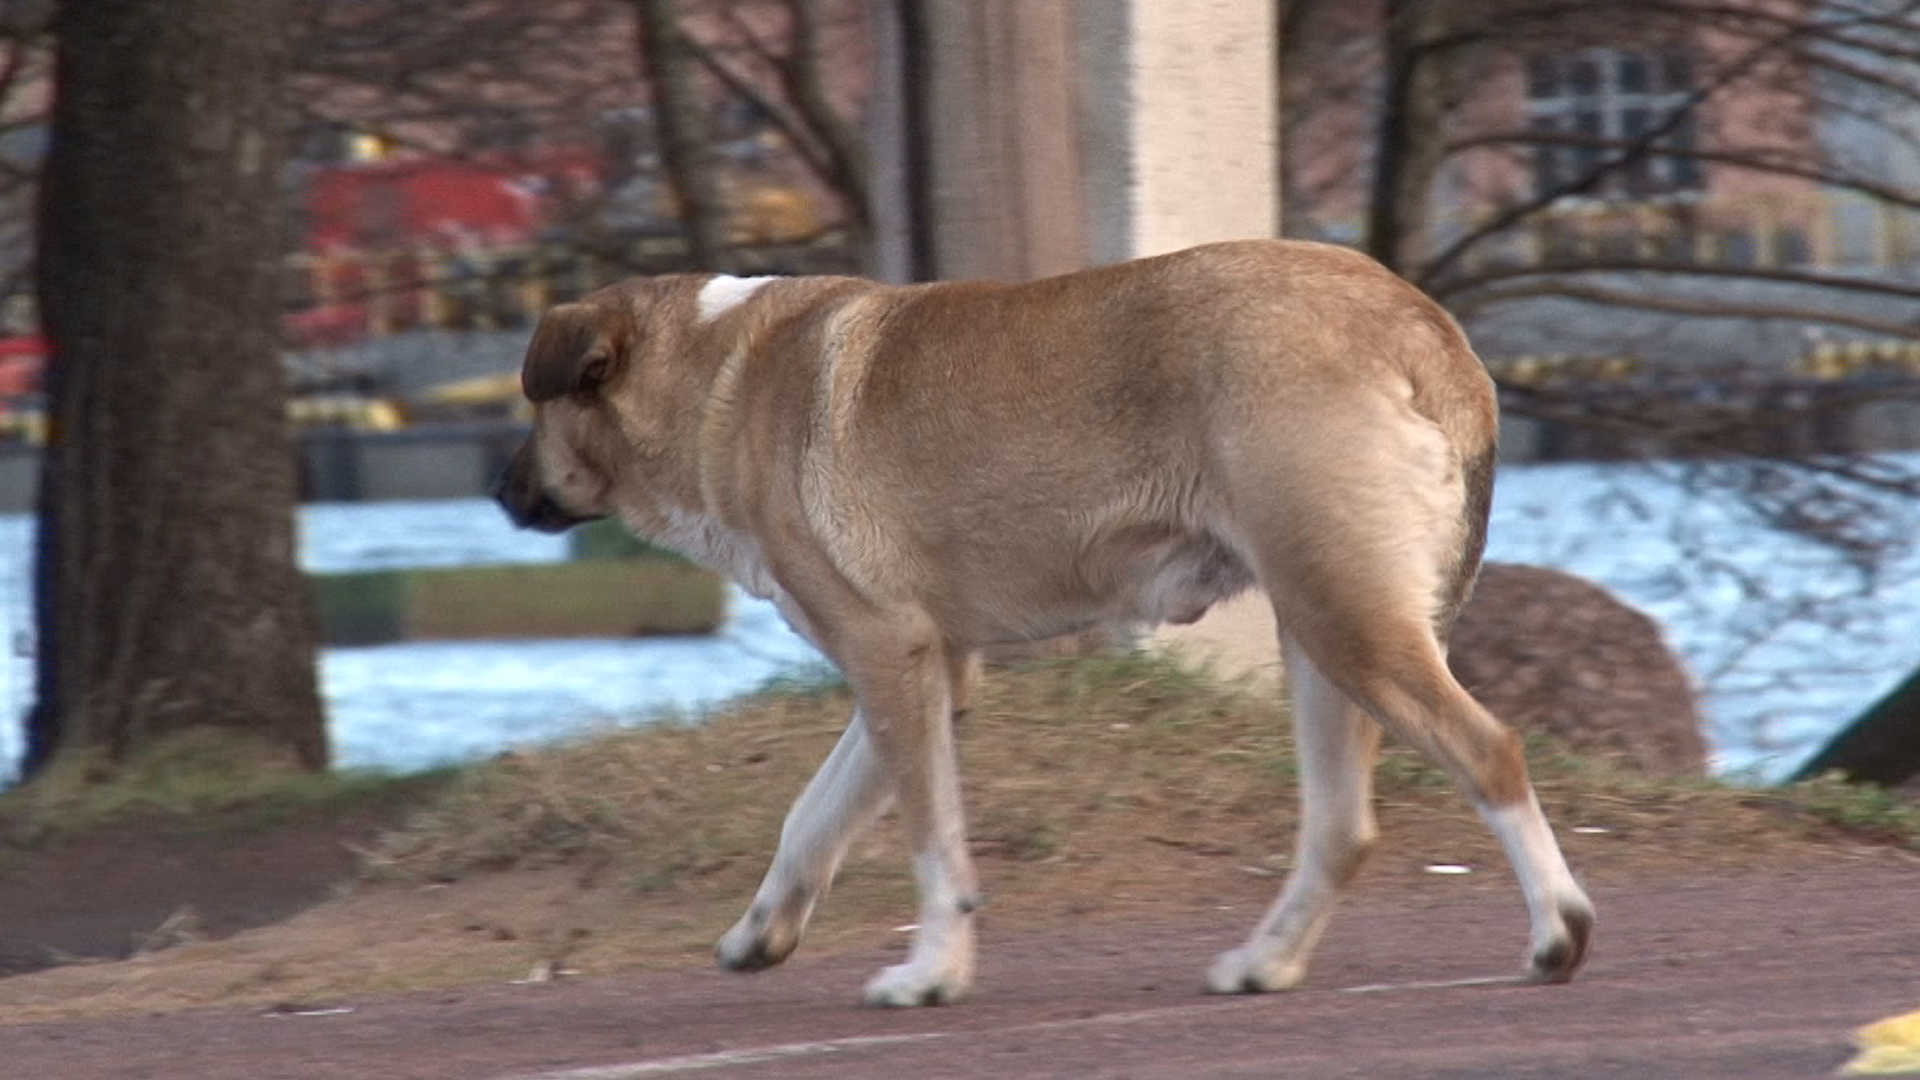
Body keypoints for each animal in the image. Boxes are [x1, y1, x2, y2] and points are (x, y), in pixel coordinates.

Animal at [495, 239, 1589, 1006]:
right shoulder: (930, 671)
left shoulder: (887, 657)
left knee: (1489, 753)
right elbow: (814, 814)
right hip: (1325, 634)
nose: (499, 495)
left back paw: (1556, 933)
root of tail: (1423, 331)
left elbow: (930, 843)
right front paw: (761, 931)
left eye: (534, 409)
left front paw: (932, 973)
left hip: (1345, 624)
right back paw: (1264, 962)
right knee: (1343, 826)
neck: (716, 378)